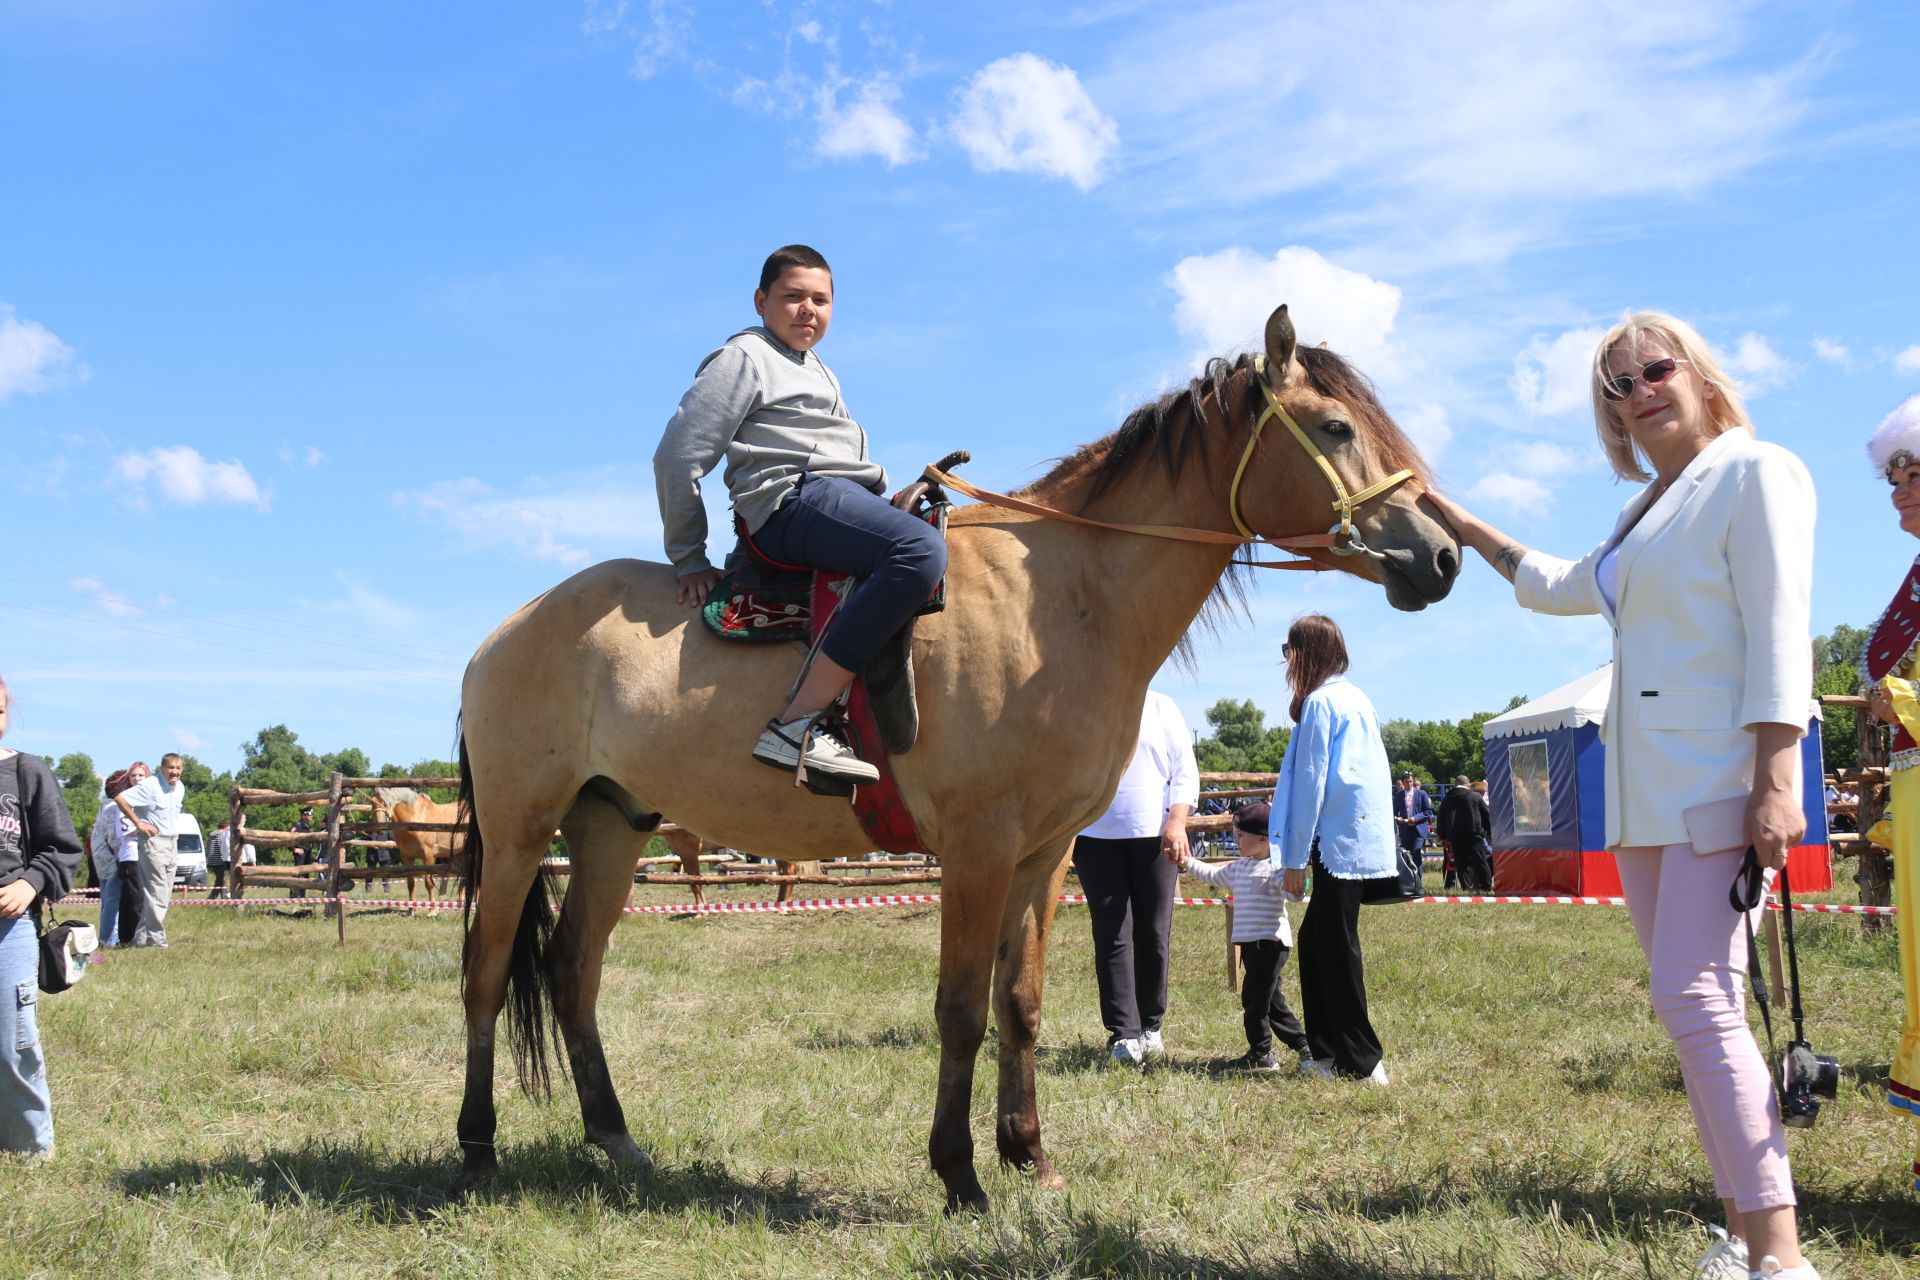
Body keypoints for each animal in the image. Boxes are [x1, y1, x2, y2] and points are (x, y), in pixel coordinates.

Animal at [453, 310, 1451, 1212]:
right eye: (1336, 427)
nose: (1440, 555)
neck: (1065, 598)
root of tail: (506, 632)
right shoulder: (977, 848)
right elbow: (963, 1007)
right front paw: (960, 1176)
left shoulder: (1042, 857)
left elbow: (1021, 1004)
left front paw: (1029, 1158)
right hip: (518, 835)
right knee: (487, 974)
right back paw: (477, 1150)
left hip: (612, 828)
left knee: (574, 974)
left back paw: (616, 1139)